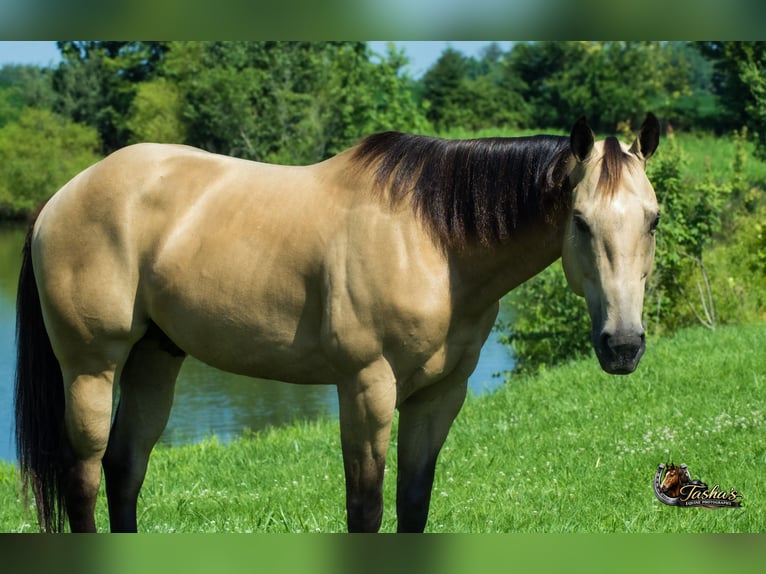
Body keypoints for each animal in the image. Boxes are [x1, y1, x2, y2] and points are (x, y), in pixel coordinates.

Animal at [15, 113, 660, 533]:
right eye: (580, 220)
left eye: (653, 219)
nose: (623, 345)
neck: (433, 243)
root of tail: (59, 197)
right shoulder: (366, 388)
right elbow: (365, 509)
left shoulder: (439, 395)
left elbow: (414, 503)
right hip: (90, 369)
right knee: (84, 478)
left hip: (155, 357)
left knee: (125, 469)